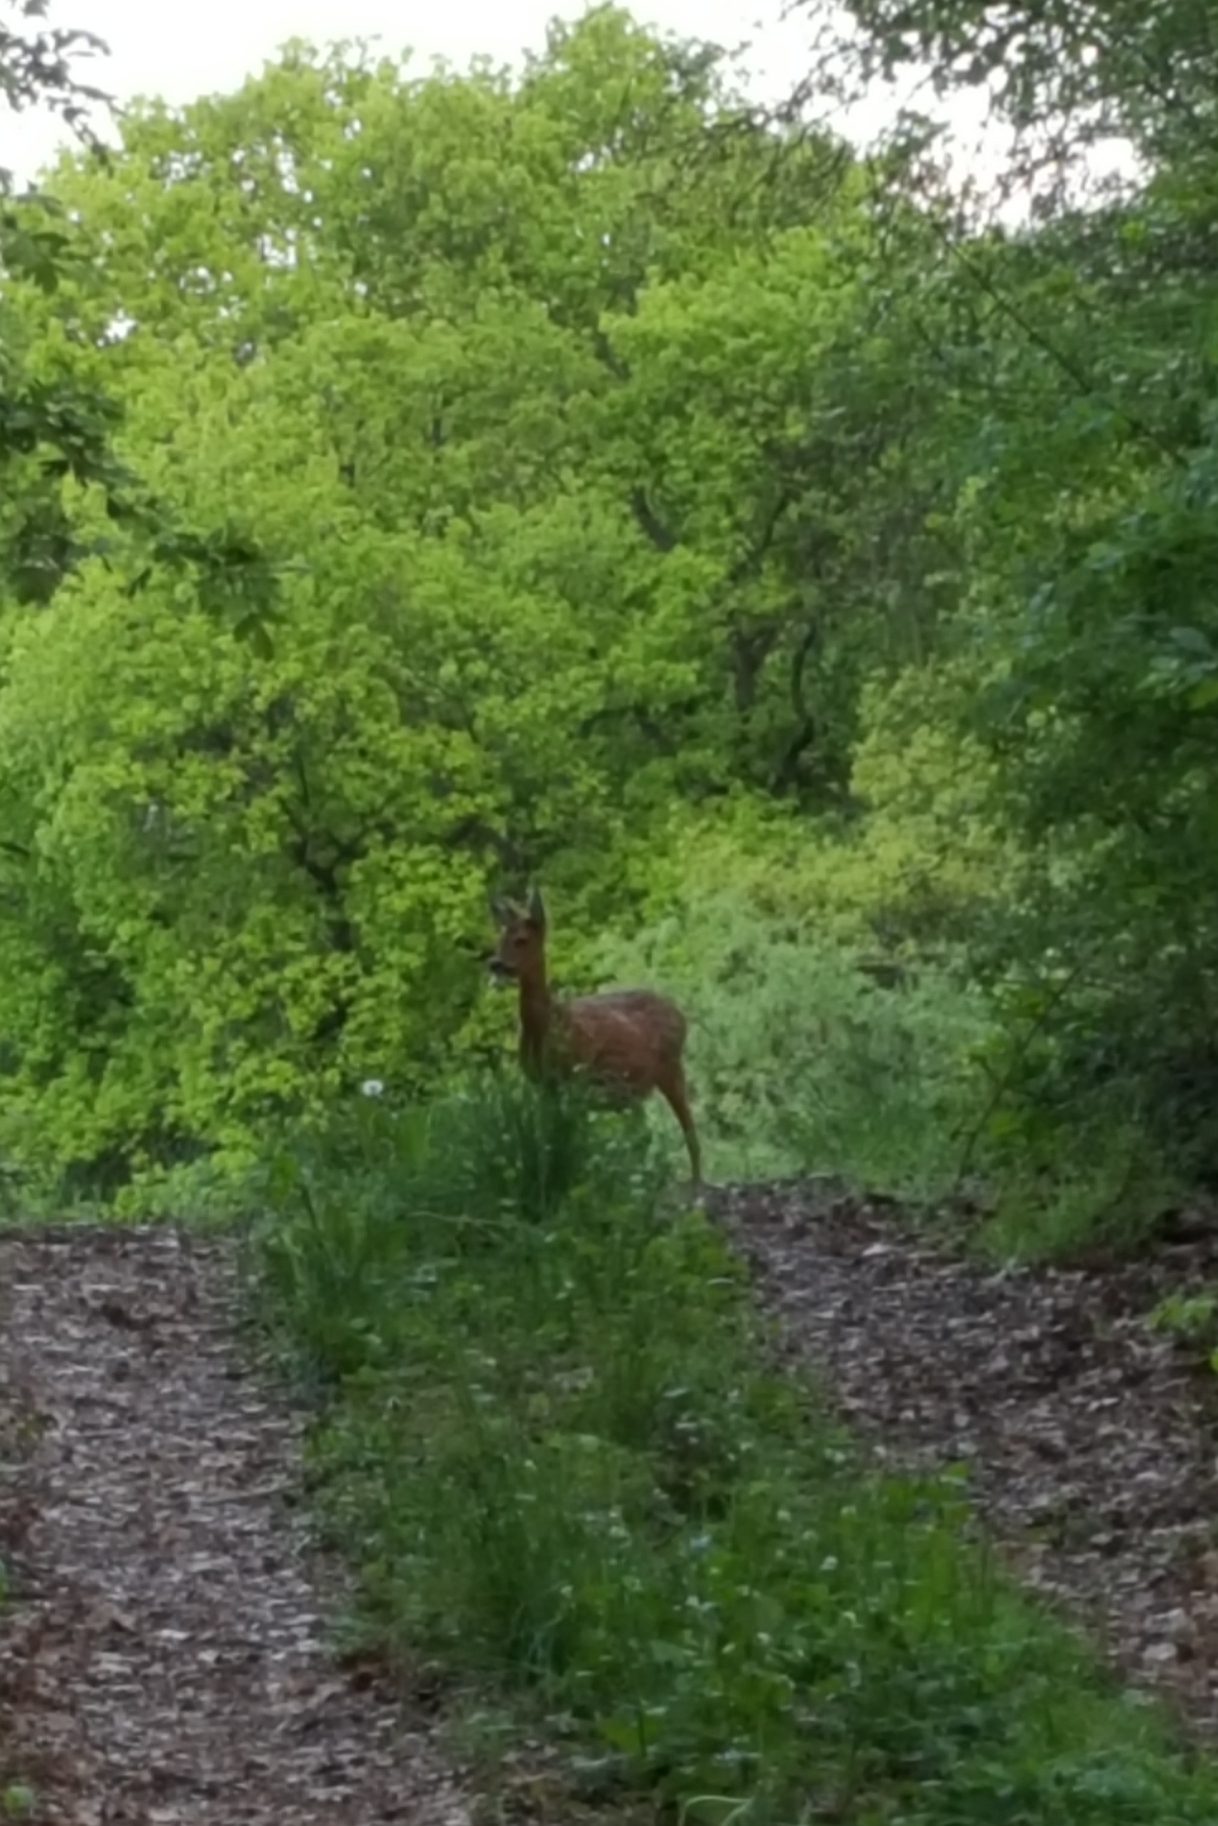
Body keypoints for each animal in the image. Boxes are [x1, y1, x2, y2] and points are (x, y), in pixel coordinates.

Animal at [488, 887, 701, 1186]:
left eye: (522, 940)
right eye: (500, 937)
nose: (495, 964)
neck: (547, 1026)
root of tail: (680, 1014)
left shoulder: (574, 1079)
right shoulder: (544, 1084)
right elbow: (547, 1137)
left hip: (670, 1068)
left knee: (689, 1131)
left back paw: (695, 1182)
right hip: (630, 1091)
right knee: (644, 1134)